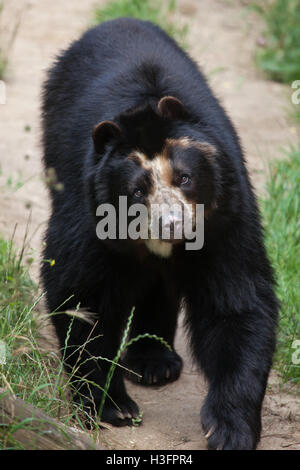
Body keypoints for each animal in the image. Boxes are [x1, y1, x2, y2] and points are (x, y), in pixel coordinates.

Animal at [41, 19, 278, 452]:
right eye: (137, 190)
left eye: (184, 178)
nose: (171, 223)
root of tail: (120, 20)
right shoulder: (88, 213)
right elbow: (82, 295)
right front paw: (112, 406)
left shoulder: (226, 214)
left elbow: (237, 300)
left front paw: (229, 428)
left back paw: (155, 362)